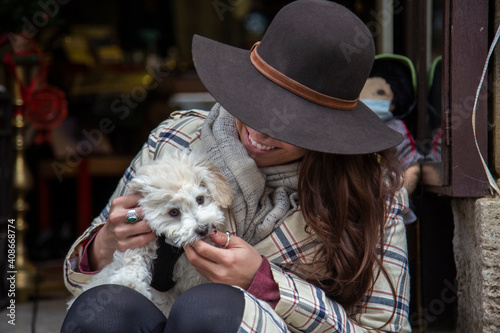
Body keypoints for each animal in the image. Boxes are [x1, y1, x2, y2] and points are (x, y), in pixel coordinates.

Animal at [67, 149, 233, 316]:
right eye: (173, 212)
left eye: (200, 199)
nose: (203, 229)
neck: (169, 245)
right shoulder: (137, 239)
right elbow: (132, 256)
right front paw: (129, 282)